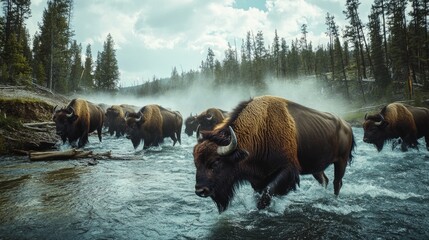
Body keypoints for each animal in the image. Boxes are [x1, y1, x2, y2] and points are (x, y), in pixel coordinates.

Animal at [193, 94, 354, 213]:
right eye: (196, 163)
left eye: (215, 162)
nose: (200, 190)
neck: (260, 132)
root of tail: (347, 125)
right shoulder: (258, 178)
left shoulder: (287, 170)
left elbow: (266, 195)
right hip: (316, 167)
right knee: (324, 180)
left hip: (341, 161)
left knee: (337, 182)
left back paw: (334, 200)